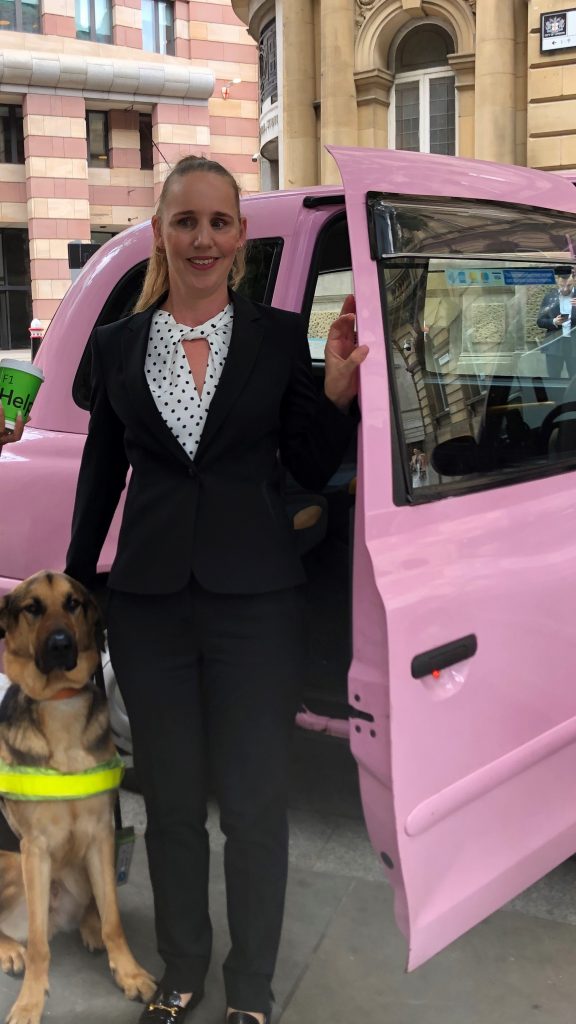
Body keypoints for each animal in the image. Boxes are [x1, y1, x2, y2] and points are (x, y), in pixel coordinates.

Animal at [0, 573, 154, 1024]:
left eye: (73, 604)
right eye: (32, 608)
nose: (60, 644)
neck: (60, 704)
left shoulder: (101, 833)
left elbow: (114, 919)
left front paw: (128, 972)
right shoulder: (34, 850)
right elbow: (38, 945)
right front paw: (30, 1001)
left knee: (96, 907)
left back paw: (88, 924)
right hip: (11, 862)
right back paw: (10, 948)